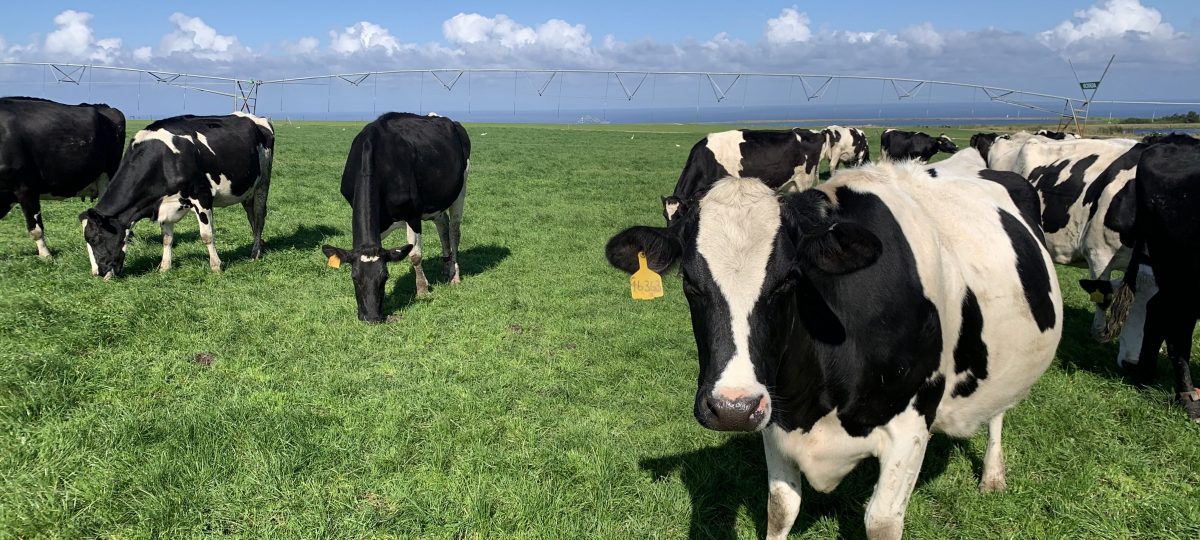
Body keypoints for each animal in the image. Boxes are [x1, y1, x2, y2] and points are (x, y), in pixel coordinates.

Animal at [82, 110, 274, 278]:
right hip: (247, 190)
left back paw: (255, 252)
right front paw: (164, 267)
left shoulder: (202, 196)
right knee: (251, 217)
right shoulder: (163, 204)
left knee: (259, 217)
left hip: (262, 183)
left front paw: (216, 266)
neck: (163, 160)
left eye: (94, 239)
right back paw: (258, 246)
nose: (97, 273)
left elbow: (207, 235)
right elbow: (167, 238)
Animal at [321, 109, 470, 321]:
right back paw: (445, 267)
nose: (371, 317)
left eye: (385, 277)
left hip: (460, 189)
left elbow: (415, 255)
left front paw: (422, 290)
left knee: (454, 231)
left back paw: (454, 275)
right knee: (443, 226)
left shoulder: (413, 214)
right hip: (435, 203)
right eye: (354, 277)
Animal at [609, 159, 1060, 535]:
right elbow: (780, 509)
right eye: (689, 282)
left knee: (998, 411)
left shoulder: (912, 424)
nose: (733, 408)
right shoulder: (776, 419)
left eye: (789, 280)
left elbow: (881, 521)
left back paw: (993, 475)